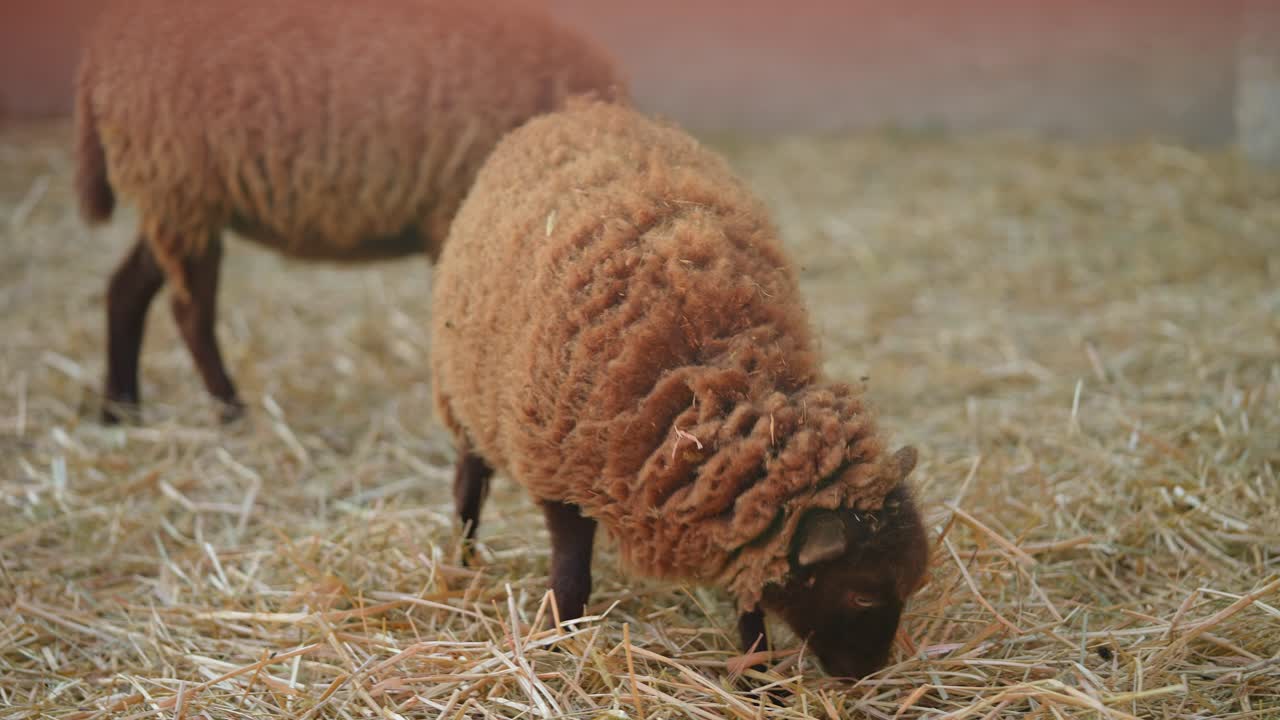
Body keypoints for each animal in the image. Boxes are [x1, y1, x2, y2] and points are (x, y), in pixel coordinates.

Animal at [75, 0, 629, 424]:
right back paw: (230, 411)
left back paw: (119, 411)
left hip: (173, 200)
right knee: (190, 310)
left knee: (125, 291)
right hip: (180, 188)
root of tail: (101, 55)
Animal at [430, 99, 931, 680]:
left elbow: (749, 598)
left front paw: (760, 677)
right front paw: (556, 642)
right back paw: (465, 560)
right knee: (469, 482)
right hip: (462, 393)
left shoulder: (736, 509)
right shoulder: (560, 475)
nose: (867, 672)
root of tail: (580, 108)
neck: (718, 379)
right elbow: (571, 576)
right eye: (864, 594)